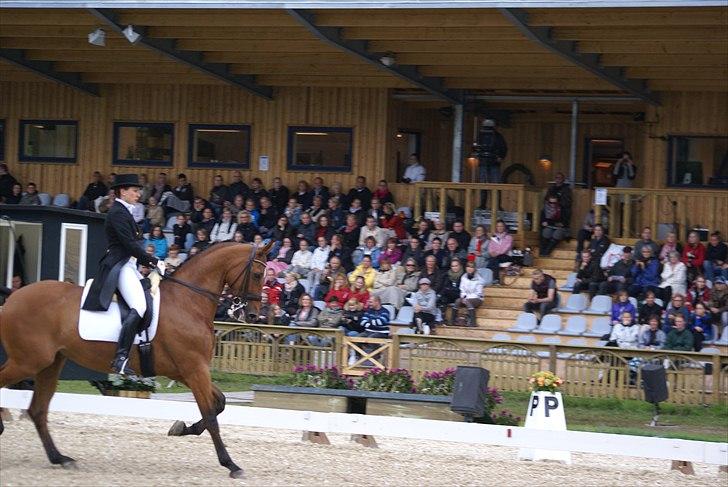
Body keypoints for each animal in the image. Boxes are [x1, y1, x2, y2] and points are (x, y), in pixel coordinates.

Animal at [0, 242, 272, 478]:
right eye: (258, 274)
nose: (253, 315)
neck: (187, 302)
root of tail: (13, 296)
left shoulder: (186, 371)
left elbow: (219, 404)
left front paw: (181, 429)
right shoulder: (194, 369)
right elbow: (212, 416)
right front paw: (231, 464)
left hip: (50, 363)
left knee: (38, 410)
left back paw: (60, 458)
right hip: (28, 361)